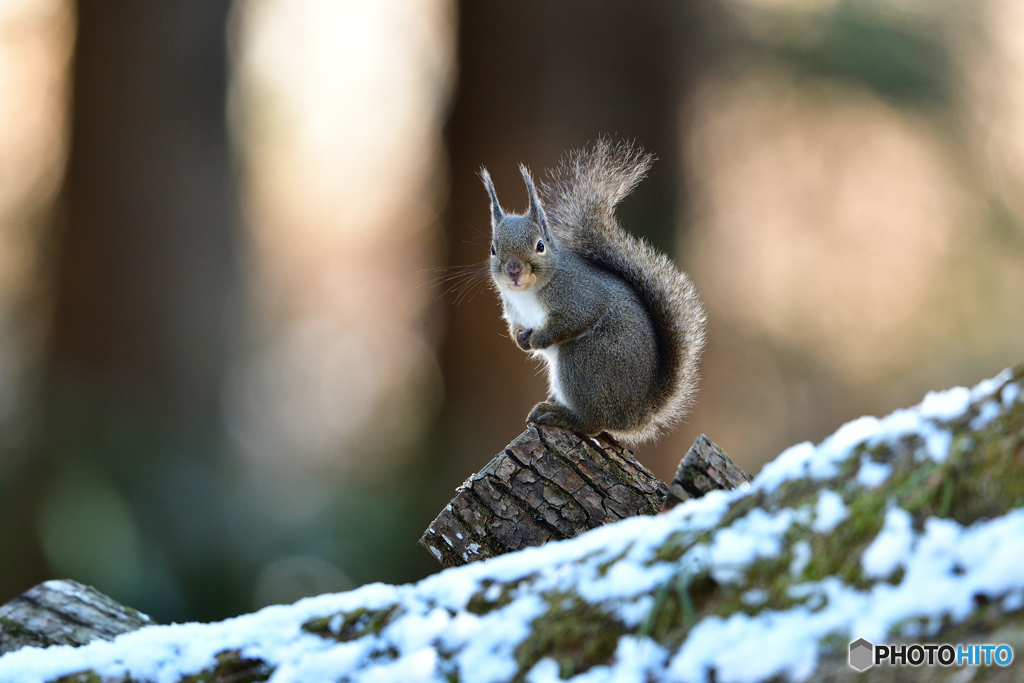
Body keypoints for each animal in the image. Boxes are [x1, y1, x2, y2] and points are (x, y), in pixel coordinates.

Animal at [479, 141, 704, 446]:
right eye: (493, 249)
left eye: (540, 245)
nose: (513, 270)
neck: (528, 293)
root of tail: (634, 414)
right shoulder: (514, 311)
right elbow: (517, 327)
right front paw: (522, 340)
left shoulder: (579, 297)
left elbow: (574, 319)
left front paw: (539, 339)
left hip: (583, 361)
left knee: (594, 422)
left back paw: (560, 414)